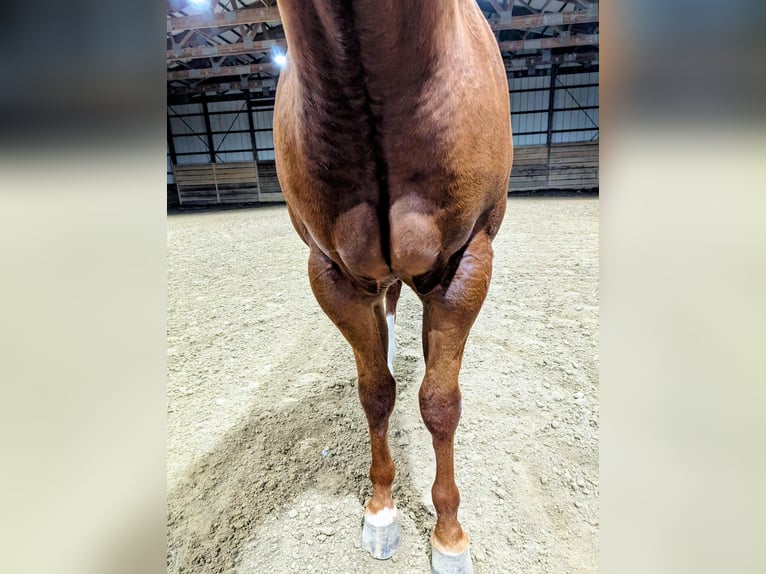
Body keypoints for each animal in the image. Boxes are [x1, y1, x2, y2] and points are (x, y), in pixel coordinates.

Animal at [273, 2, 512, 571]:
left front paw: (449, 536)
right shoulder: (334, 276)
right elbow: (376, 392)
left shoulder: (465, 269)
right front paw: (381, 511)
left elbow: (441, 403)